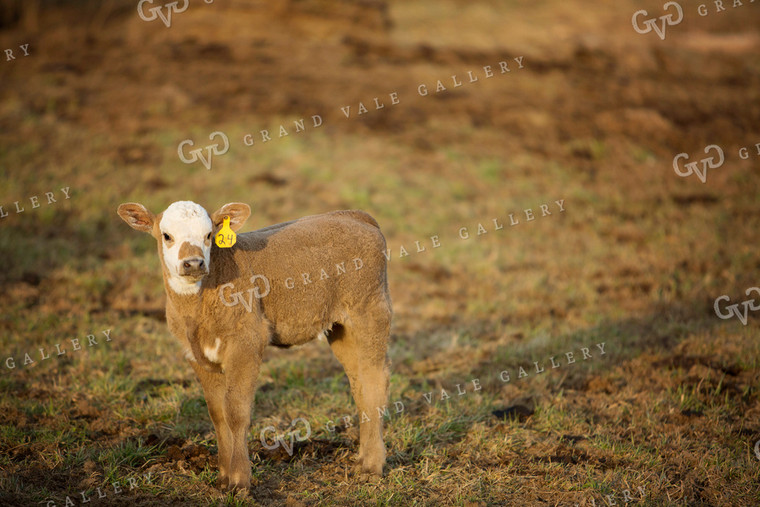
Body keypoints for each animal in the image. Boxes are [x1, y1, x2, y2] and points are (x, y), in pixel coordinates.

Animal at [119, 201, 394, 492]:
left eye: (209, 235)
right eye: (167, 236)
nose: (193, 263)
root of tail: (355, 216)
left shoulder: (247, 341)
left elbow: (236, 411)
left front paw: (240, 481)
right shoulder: (196, 354)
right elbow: (217, 414)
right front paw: (223, 478)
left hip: (370, 312)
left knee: (375, 382)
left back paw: (372, 466)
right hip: (341, 328)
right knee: (359, 384)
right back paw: (363, 458)